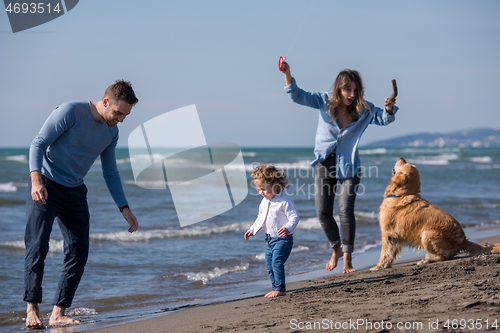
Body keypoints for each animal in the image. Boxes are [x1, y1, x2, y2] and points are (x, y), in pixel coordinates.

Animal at [372, 156, 500, 270]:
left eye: (405, 164)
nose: (401, 157)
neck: (401, 195)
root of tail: (463, 240)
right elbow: (390, 254)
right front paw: (385, 266)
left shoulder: (387, 233)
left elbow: (384, 253)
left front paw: (377, 267)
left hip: (427, 234)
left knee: (444, 257)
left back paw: (427, 260)